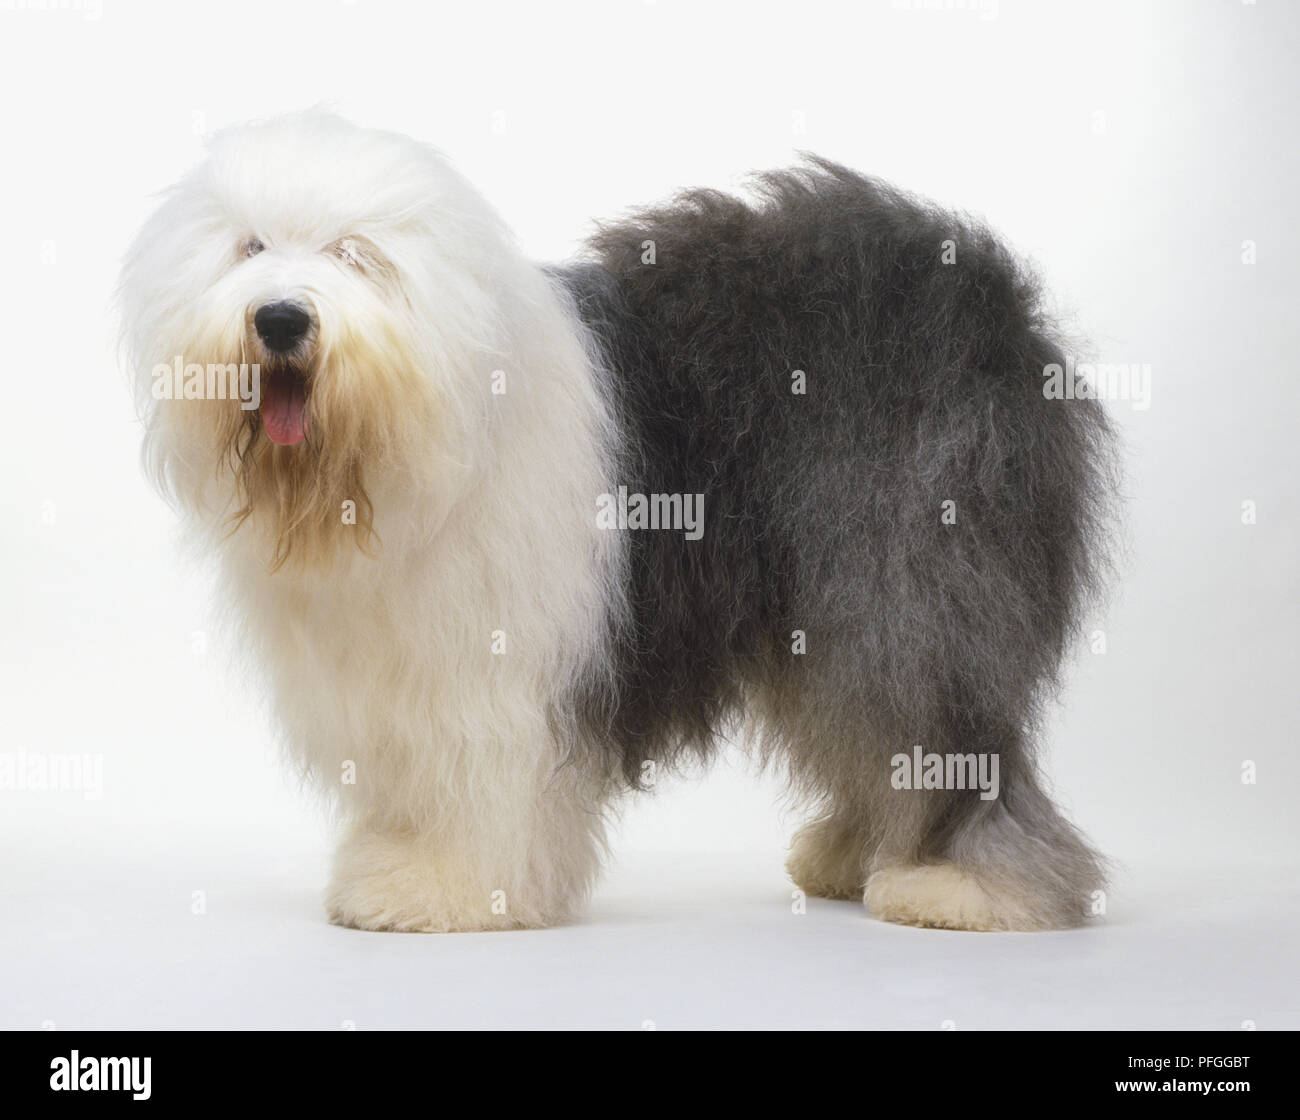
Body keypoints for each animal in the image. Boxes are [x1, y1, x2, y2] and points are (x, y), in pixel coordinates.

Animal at [122, 111, 1112, 940]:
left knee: (937, 716)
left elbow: (483, 781)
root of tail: (988, 292)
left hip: (909, 568)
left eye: (353, 253)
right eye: (250, 245)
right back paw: (854, 853)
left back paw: (961, 882)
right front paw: (399, 866)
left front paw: (446, 889)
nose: (281, 317)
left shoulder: (495, 664)